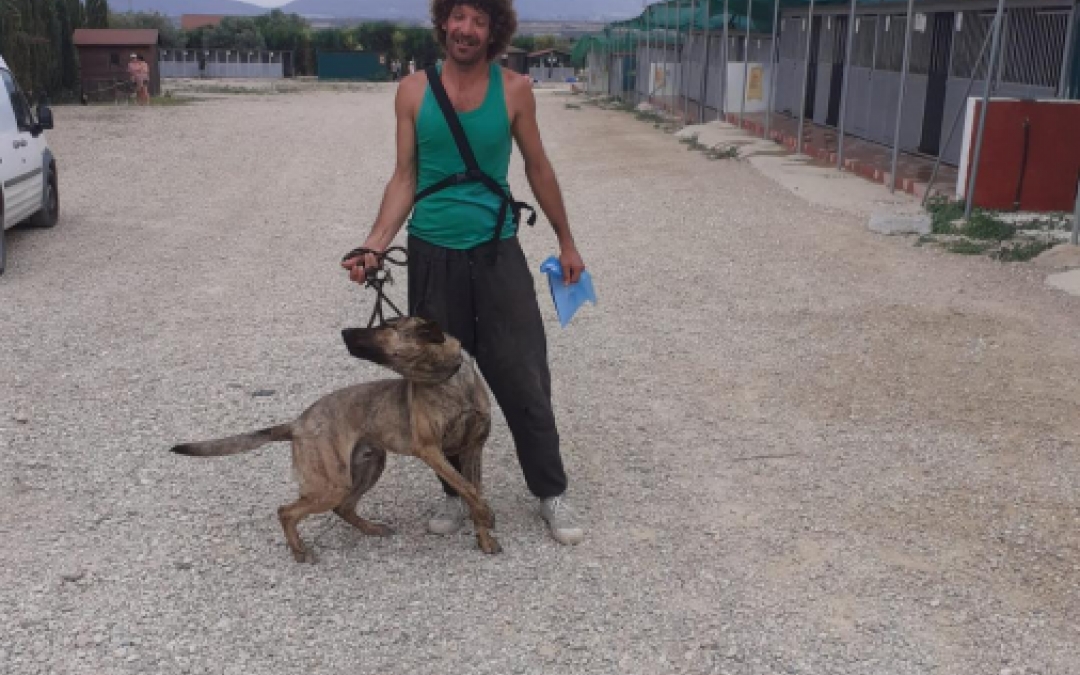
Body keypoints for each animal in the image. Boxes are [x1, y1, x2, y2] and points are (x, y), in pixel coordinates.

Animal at [170, 317, 499, 562]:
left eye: (387, 326)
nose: (344, 331)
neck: (449, 381)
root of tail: (297, 423)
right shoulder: (431, 450)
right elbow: (468, 488)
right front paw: (486, 516)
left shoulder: (473, 449)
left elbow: (473, 489)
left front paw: (484, 538)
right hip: (332, 484)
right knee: (286, 511)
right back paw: (300, 551)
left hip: (366, 468)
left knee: (344, 507)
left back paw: (371, 529)